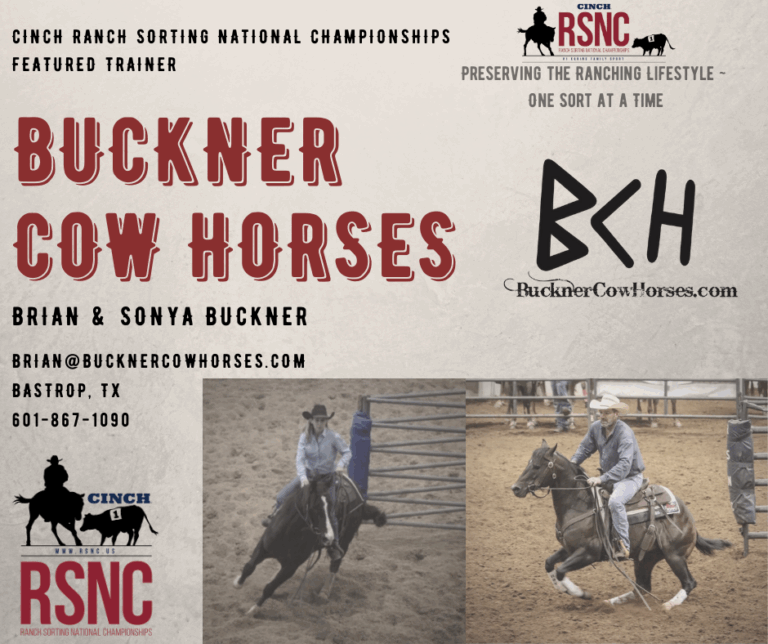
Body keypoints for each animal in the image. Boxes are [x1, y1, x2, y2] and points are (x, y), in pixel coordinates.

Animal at [233, 472, 387, 607]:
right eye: (315, 507)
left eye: (332, 507)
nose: (328, 537)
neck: (289, 532)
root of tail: (361, 499)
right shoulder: (263, 545)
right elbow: (249, 567)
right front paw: (237, 583)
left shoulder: (291, 567)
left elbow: (269, 589)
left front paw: (252, 611)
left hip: (345, 540)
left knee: (335, 564)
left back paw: (324, 593)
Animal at [511, 440, 731, 610]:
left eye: (537, 466)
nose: (516, 488)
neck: (580, 503)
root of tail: (687, 516)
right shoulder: (570, 548)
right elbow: (549, 563)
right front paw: (561, 588)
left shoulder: (588, 552)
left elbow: (561, 570)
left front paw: (580, 593)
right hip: (644, 558)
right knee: (642, 586)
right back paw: (612, 601)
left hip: (674, 555)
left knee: (688, 583)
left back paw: (668, 605)